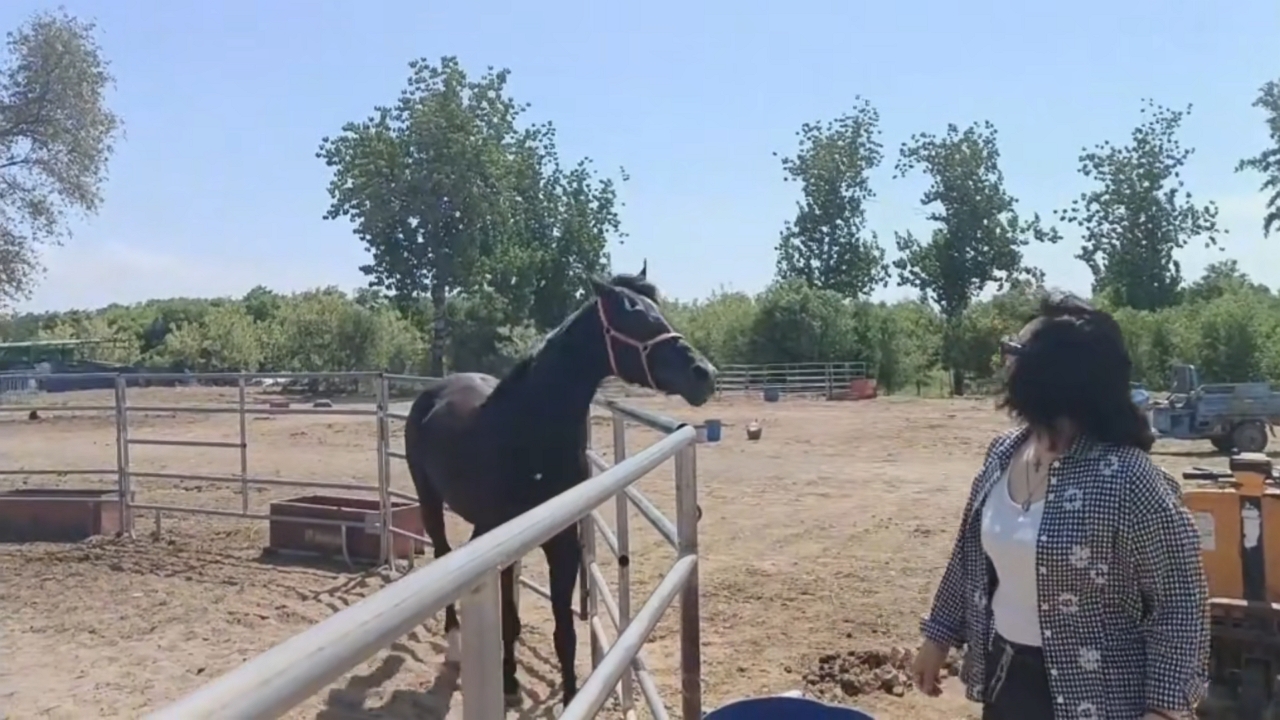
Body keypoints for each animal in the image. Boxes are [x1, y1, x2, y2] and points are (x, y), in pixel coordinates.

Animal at [404, 266, 717, 708]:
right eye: (633, 314)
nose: (704, 374)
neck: (527, 434)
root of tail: (433, 393)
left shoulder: (564, 543)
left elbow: (563, 630)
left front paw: (570, 695)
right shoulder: (503, 546)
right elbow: (509, 619)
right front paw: (510, 685)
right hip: (429, 501)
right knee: (443, 553)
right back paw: (454, 644)